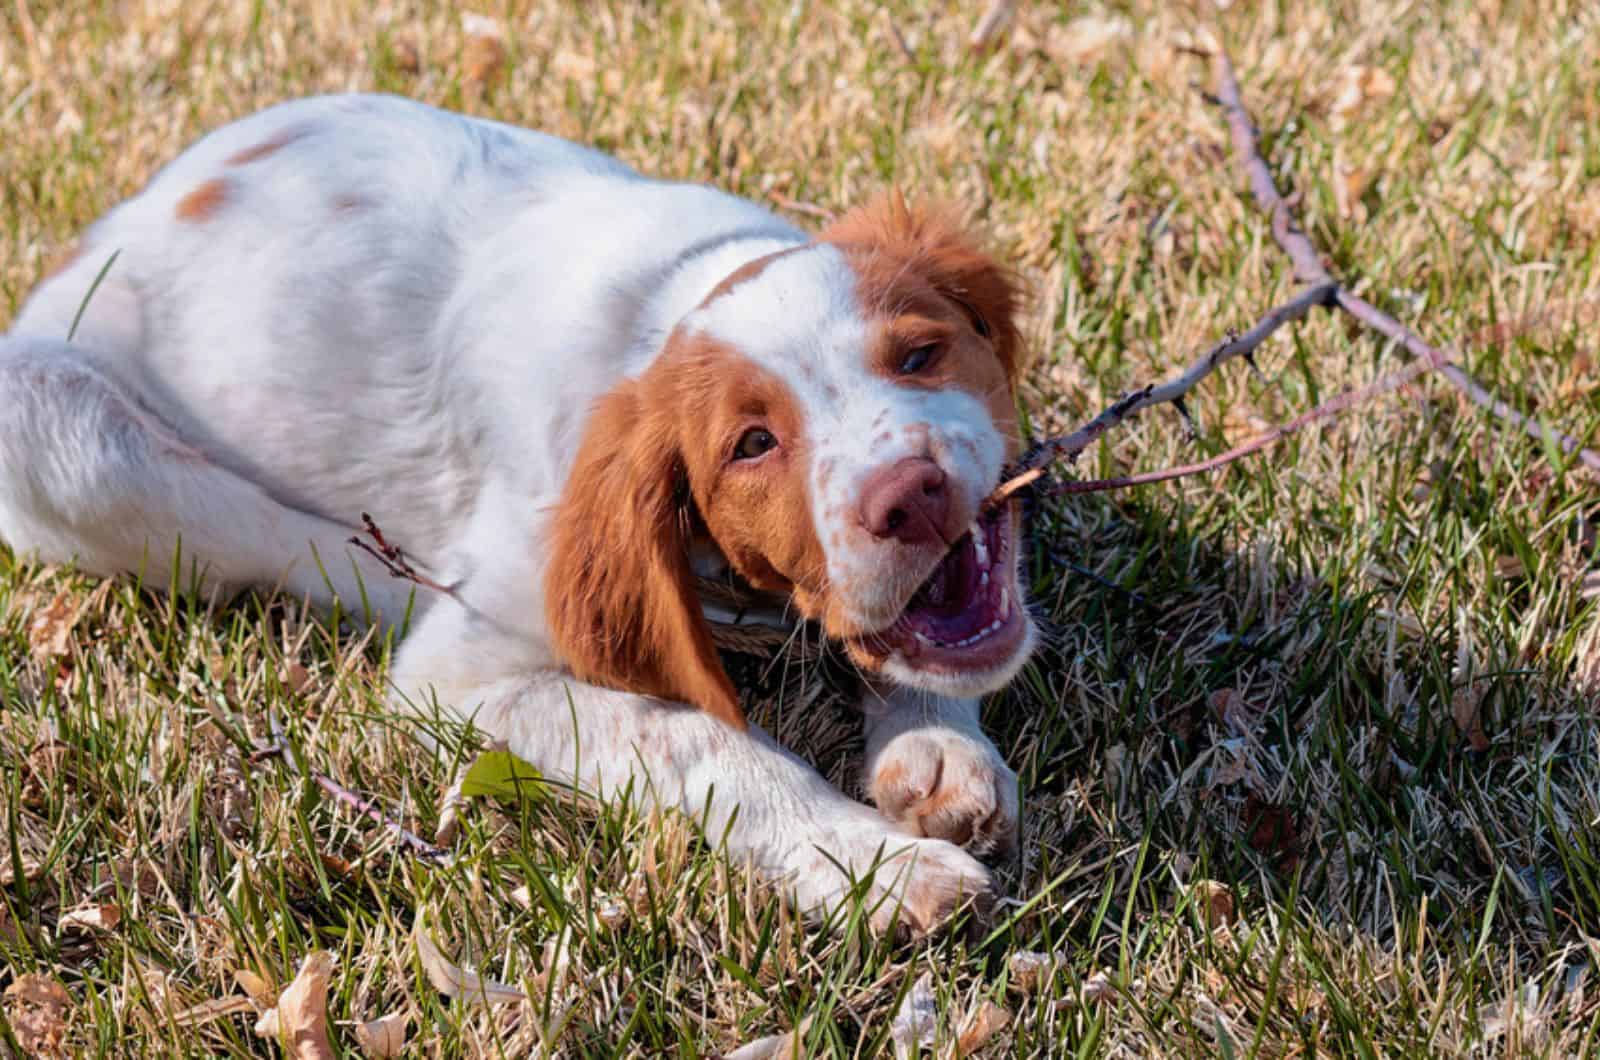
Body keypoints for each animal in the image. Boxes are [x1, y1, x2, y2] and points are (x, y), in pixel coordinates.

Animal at [0, 93, 1036, 941]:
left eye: (919, 355)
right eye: (751, 444)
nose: (910, 494)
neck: (663, 301)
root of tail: (110, 225)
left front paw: (937, 748)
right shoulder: (458, 685)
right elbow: (690, 734)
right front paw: (878, 865)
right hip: (57, 425)